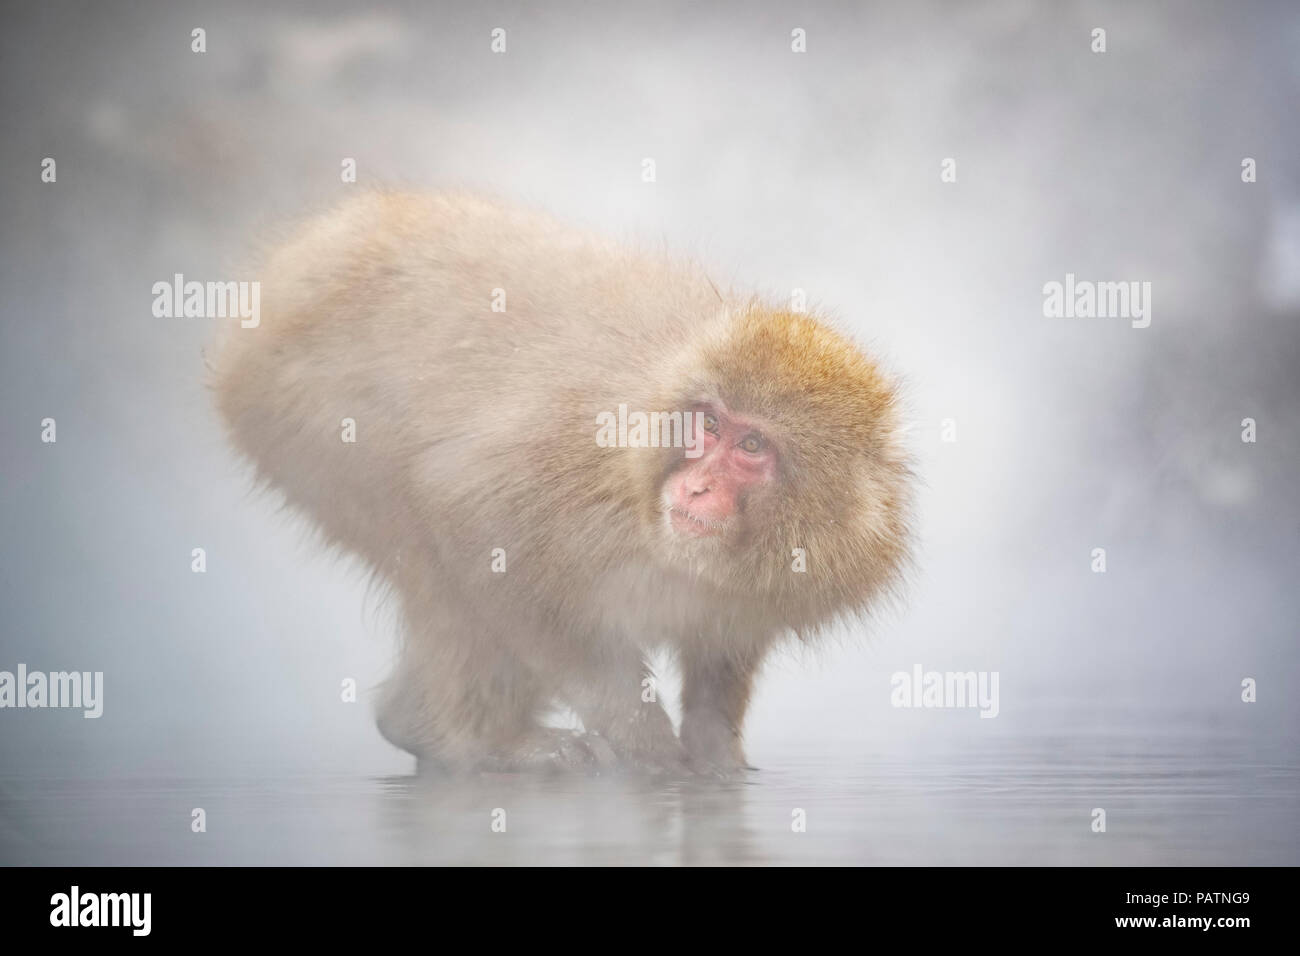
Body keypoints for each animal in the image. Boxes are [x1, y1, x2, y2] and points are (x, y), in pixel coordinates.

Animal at [213, 188, 915, 780]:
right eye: (709, 424)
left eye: (750, 446)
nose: (694, 490)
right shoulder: (578, 466)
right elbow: (472, 514)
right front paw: (651, 750)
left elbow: (724, 645)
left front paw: (716, 755)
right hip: (306, 416)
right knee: (435, 561)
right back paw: (468, 745)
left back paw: (410, 722)